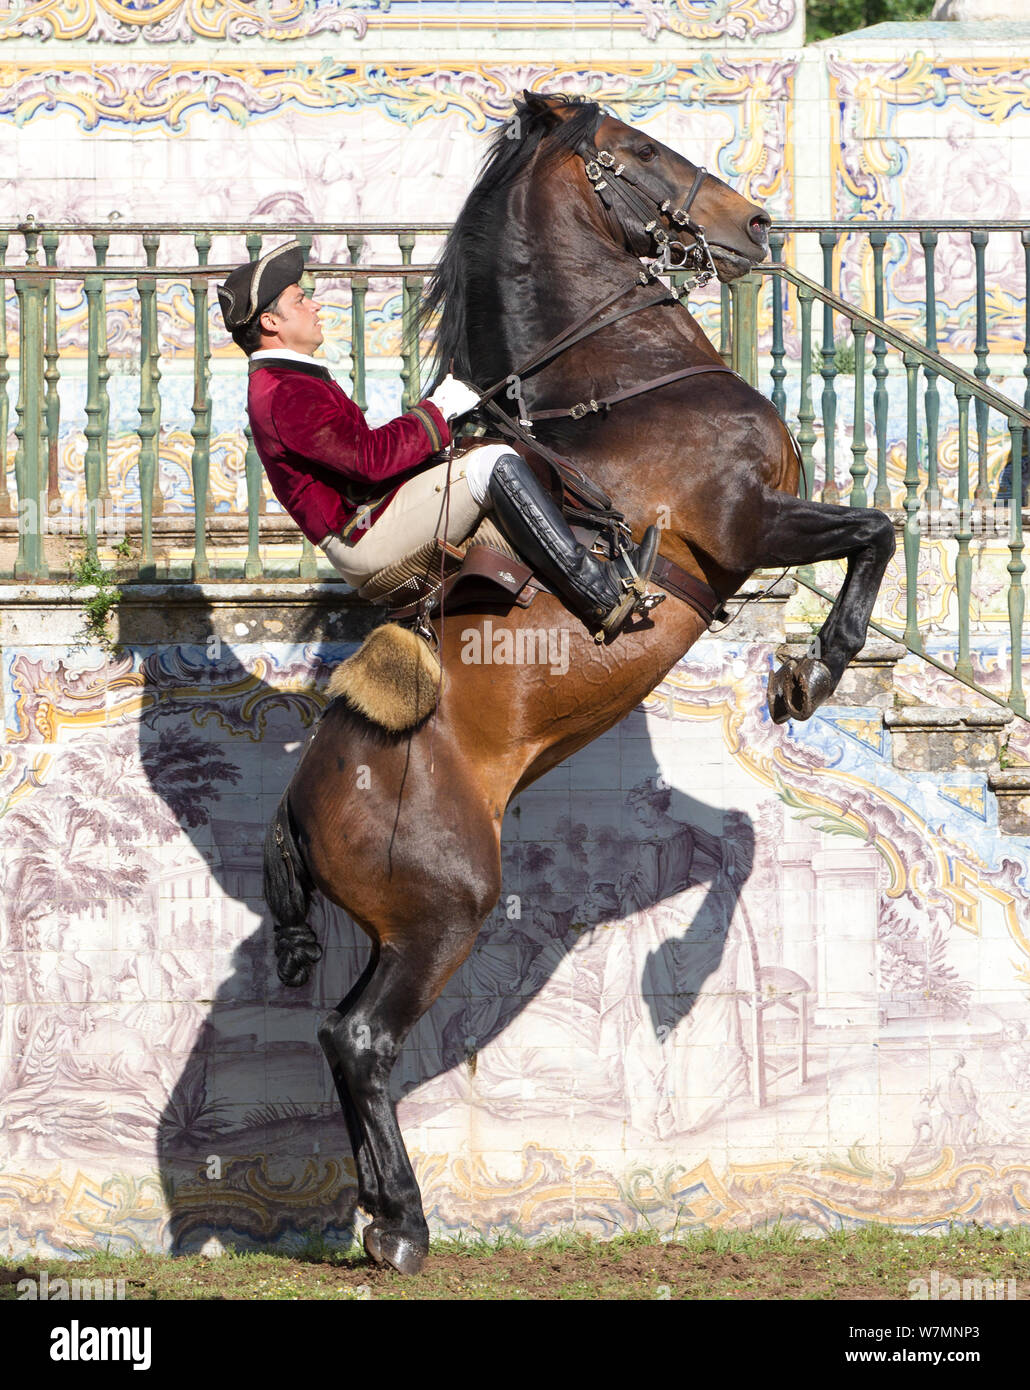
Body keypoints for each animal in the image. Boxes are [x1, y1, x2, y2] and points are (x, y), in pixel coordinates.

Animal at [263, 92, 895, 1275]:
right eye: (640, 151)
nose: (755, 223)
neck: (630, 381)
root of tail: (298, 805)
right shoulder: (750, 526)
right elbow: (879, 528)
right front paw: (811, 672)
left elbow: (738, 839)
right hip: (446, 912)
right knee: (361, 1038)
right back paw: (404, 1224)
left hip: (400, 930)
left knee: (339, 1036)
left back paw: (377, 1214)